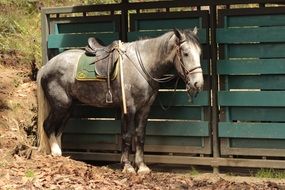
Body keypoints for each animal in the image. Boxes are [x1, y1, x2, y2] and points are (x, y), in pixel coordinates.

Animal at [37, 28, 202, 174]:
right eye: (186, 53)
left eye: (200, 53)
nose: (198, 84)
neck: (143, 65)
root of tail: (47, 66)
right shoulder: (130, 108)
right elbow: (127, 135)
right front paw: (128, 166)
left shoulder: (144, 109)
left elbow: (140, 135)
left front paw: (141, 166)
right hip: (60, 106)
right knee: (48, 126)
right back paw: (56, 153)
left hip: (69, 108)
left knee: (58, 130)